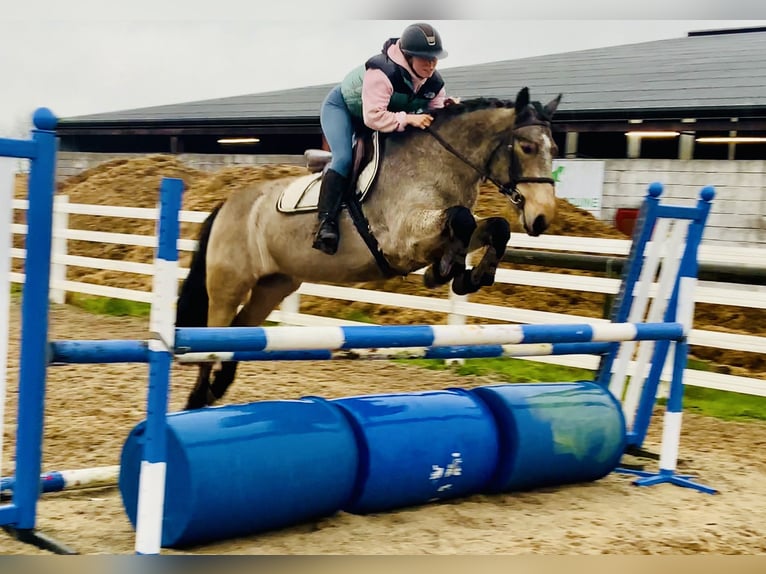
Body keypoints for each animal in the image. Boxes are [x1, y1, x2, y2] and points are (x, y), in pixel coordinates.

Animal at [176, 87, 562, 410]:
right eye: (527, 147)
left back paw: (217, 389)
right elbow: (463, 219)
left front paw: (468, 276)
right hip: (229, 285)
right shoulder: (403, 239)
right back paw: (197, 398)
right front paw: (445, 271)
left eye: (555, 151)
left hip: (274, 284)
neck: (437, 162)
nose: (542, 218)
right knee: (213, 336)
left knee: (238, 333)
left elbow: (493, 227)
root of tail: (227, 205)